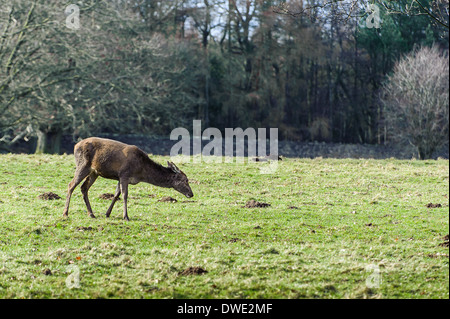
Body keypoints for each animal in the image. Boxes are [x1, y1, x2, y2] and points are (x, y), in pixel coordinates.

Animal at [62, 136, 193, 221]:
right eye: (185, 180)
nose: (191, 194)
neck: (141, 171)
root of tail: (75, 146)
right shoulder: (124, 174)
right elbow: (125, 195)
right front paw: (126, 216)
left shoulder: (120, 177)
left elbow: (116, 195)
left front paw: (107, 213)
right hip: (82, 164)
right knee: (71, 185)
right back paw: (65, 213)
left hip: (95, 172)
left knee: (84, 187)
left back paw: (91, 214)